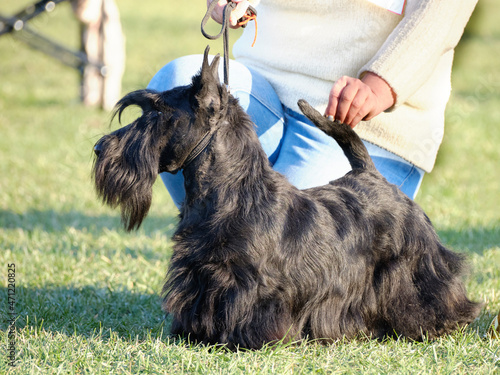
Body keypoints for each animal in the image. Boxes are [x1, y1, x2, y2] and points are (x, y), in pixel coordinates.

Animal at [94, 46, 480, 350]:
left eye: (159, 112)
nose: (99, 148)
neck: (231, 193)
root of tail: (371, 175)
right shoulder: (200, 275)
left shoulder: (250, 285)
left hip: (416, 265)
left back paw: (441, 321)